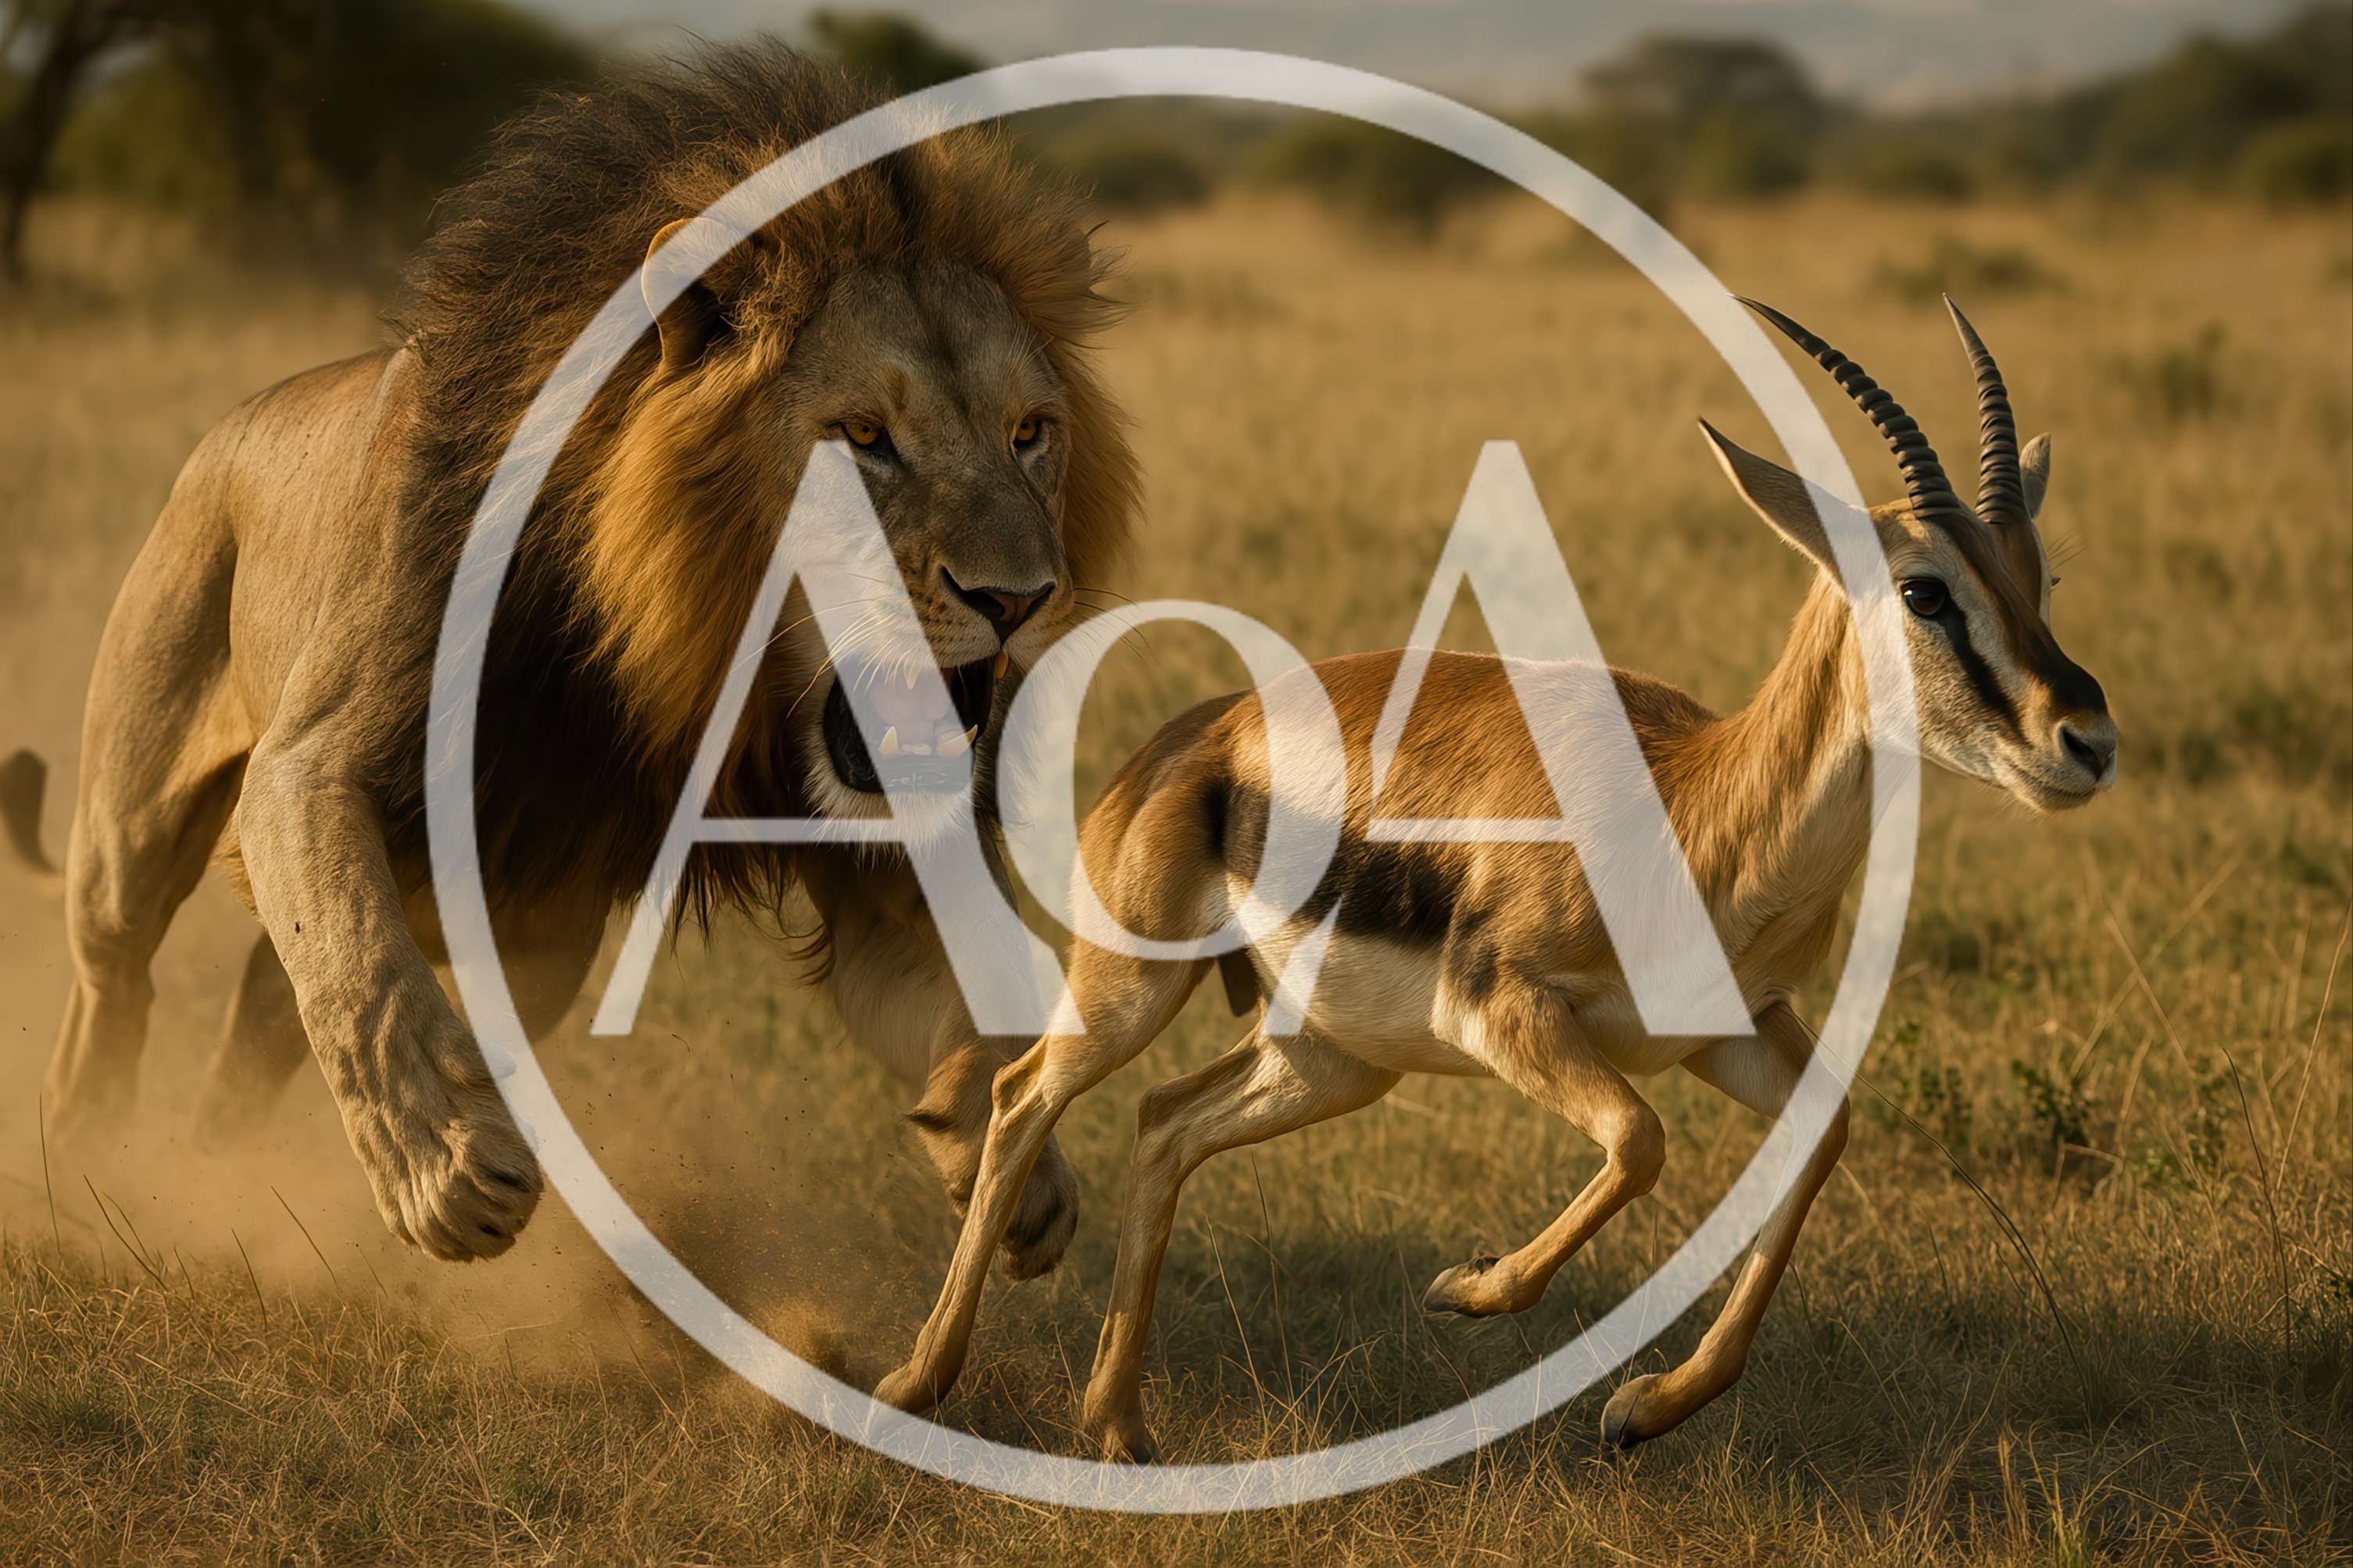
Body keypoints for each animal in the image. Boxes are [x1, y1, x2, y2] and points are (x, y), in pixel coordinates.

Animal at [0, 43, 1138, 1273]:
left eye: (1029, 433)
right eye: (864, 439)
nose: (1019, 598)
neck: (687, 656)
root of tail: (223, 432)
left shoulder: (875, 879)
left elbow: (972, 996)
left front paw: (1014, 1158)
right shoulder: (311, 766)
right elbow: (357, 963)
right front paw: (448, 1170)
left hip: (529, 931)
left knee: (265, 1002)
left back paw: (219, 1156)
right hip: (134, 819)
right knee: (117, 980)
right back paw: (93, 1157)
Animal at [870, 299, 2119, 1460]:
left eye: (2043, 575)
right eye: (1922, 590)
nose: (2086, 739)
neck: (1699, 812)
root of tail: (1190, 734)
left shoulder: (1729, 1028)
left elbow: (1819, 1136)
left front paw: (1641, 1407)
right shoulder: (1501, 1004)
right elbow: (1639, 1141)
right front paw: (1462, 1287)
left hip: (1332, 1057)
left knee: (1164, 1122)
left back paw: (1117, 1423)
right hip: (1133, 987)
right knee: (1023, 1095)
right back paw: (916, 1385)